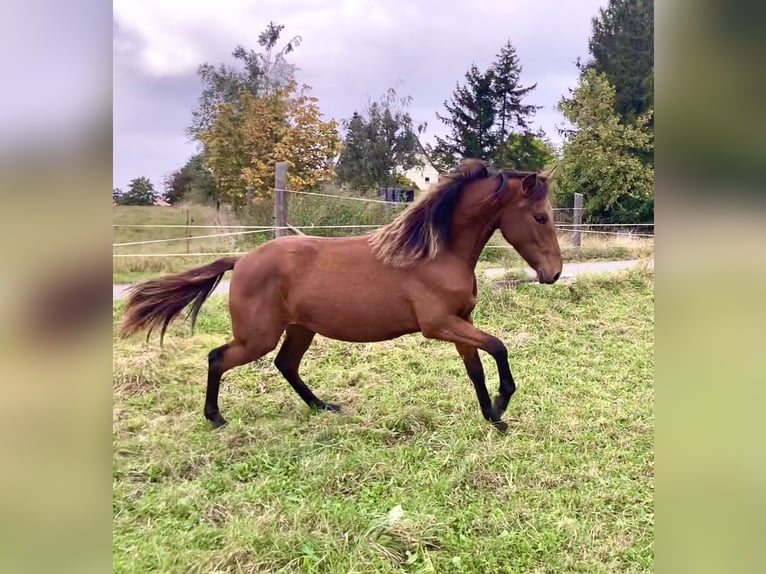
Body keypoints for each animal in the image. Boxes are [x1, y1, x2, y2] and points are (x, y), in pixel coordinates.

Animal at [120, 160, 564, 434]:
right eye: (540, 216)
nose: (554, 273)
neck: (435, 252)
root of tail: (241, 260)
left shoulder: (461, 322)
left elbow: (477, 368)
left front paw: (493, 417)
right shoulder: (439, 325)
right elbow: (499, 347)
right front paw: (502, 405)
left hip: (300, 329)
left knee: (285, 364)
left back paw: (323, 407)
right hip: (257, 337)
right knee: (218, 358)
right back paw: (216, 419)